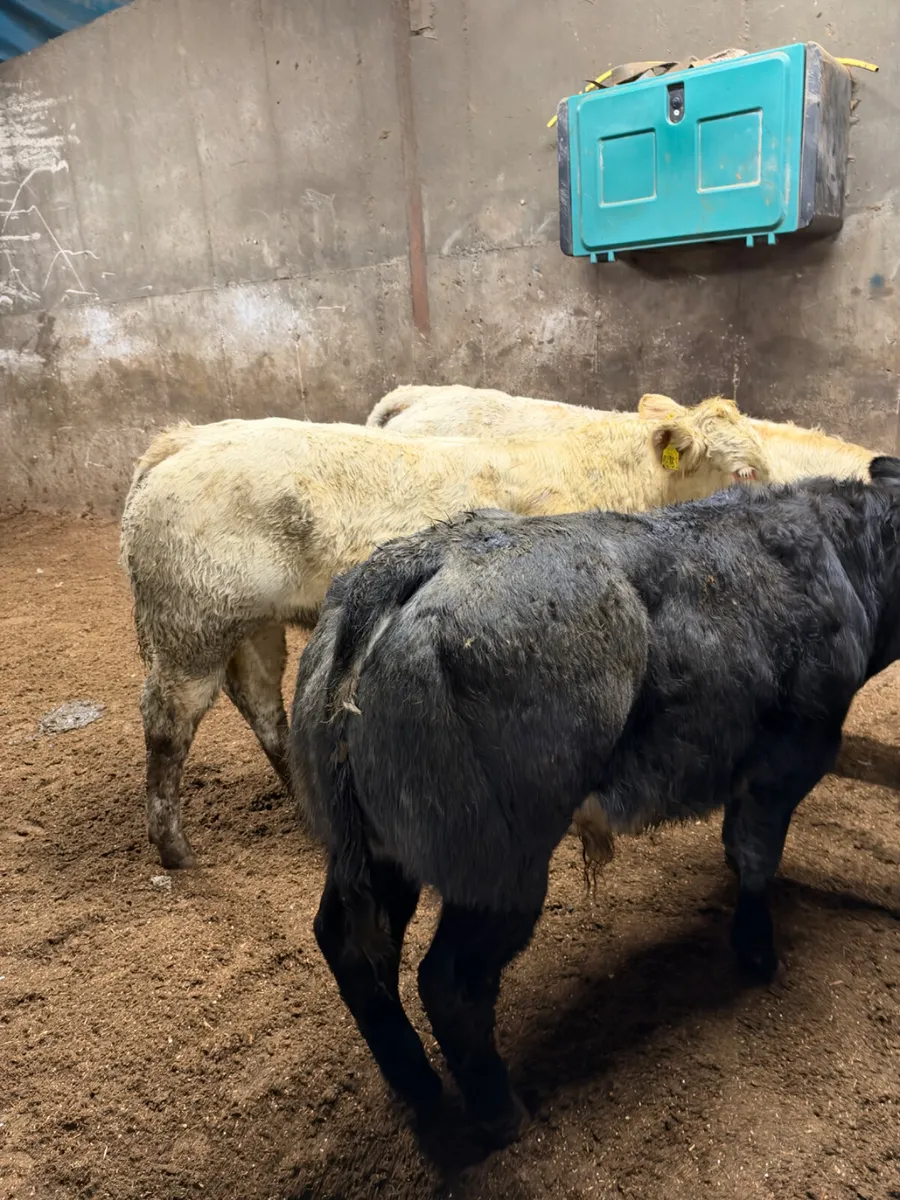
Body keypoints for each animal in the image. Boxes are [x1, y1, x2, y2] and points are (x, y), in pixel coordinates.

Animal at [120, 400, 768, 869]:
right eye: (742, 471)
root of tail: (182, 439)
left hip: (251, 624)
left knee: (261, 707)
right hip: (189, 628)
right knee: (168, 726)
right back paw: (174, 848)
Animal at [289, 457, 900, 1145]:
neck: (844, 552)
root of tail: (404, 567)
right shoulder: (791, 756)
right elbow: (754, 857)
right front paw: (758, 954)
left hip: (375, 852)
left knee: (351, 949)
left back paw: (420, 1091)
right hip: (499, 864)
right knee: (450, 982)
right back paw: (499, 1113)